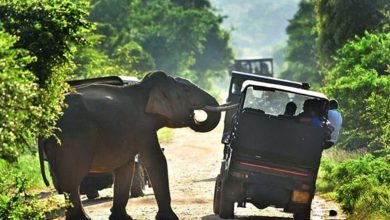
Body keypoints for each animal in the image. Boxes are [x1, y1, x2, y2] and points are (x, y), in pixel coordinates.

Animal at [38, 71, 235, 220]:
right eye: (186, 90)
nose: (194, 116)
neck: (144, 87)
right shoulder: (143, 127)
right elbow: (156, 160)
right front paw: (170, 218)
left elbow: (126, 166)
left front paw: (122, 218)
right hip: (71, 138)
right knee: (72, 180)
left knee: (64, 180)